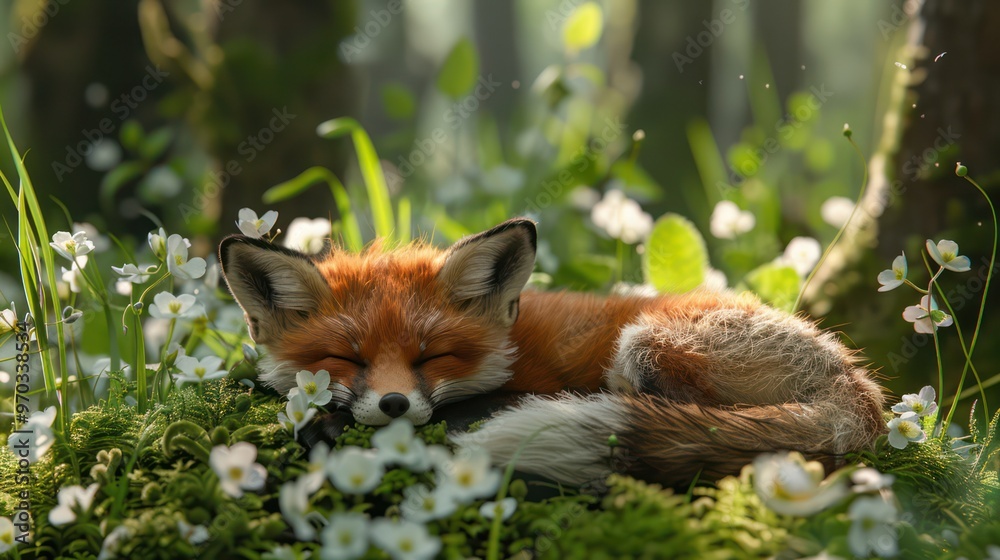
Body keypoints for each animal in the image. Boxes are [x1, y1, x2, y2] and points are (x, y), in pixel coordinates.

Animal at [218, 218, 886, 488]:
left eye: (434, 357)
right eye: (347, 359)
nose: (393, 405)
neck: (514, 345)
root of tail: (856, 384)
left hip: (643, 344)